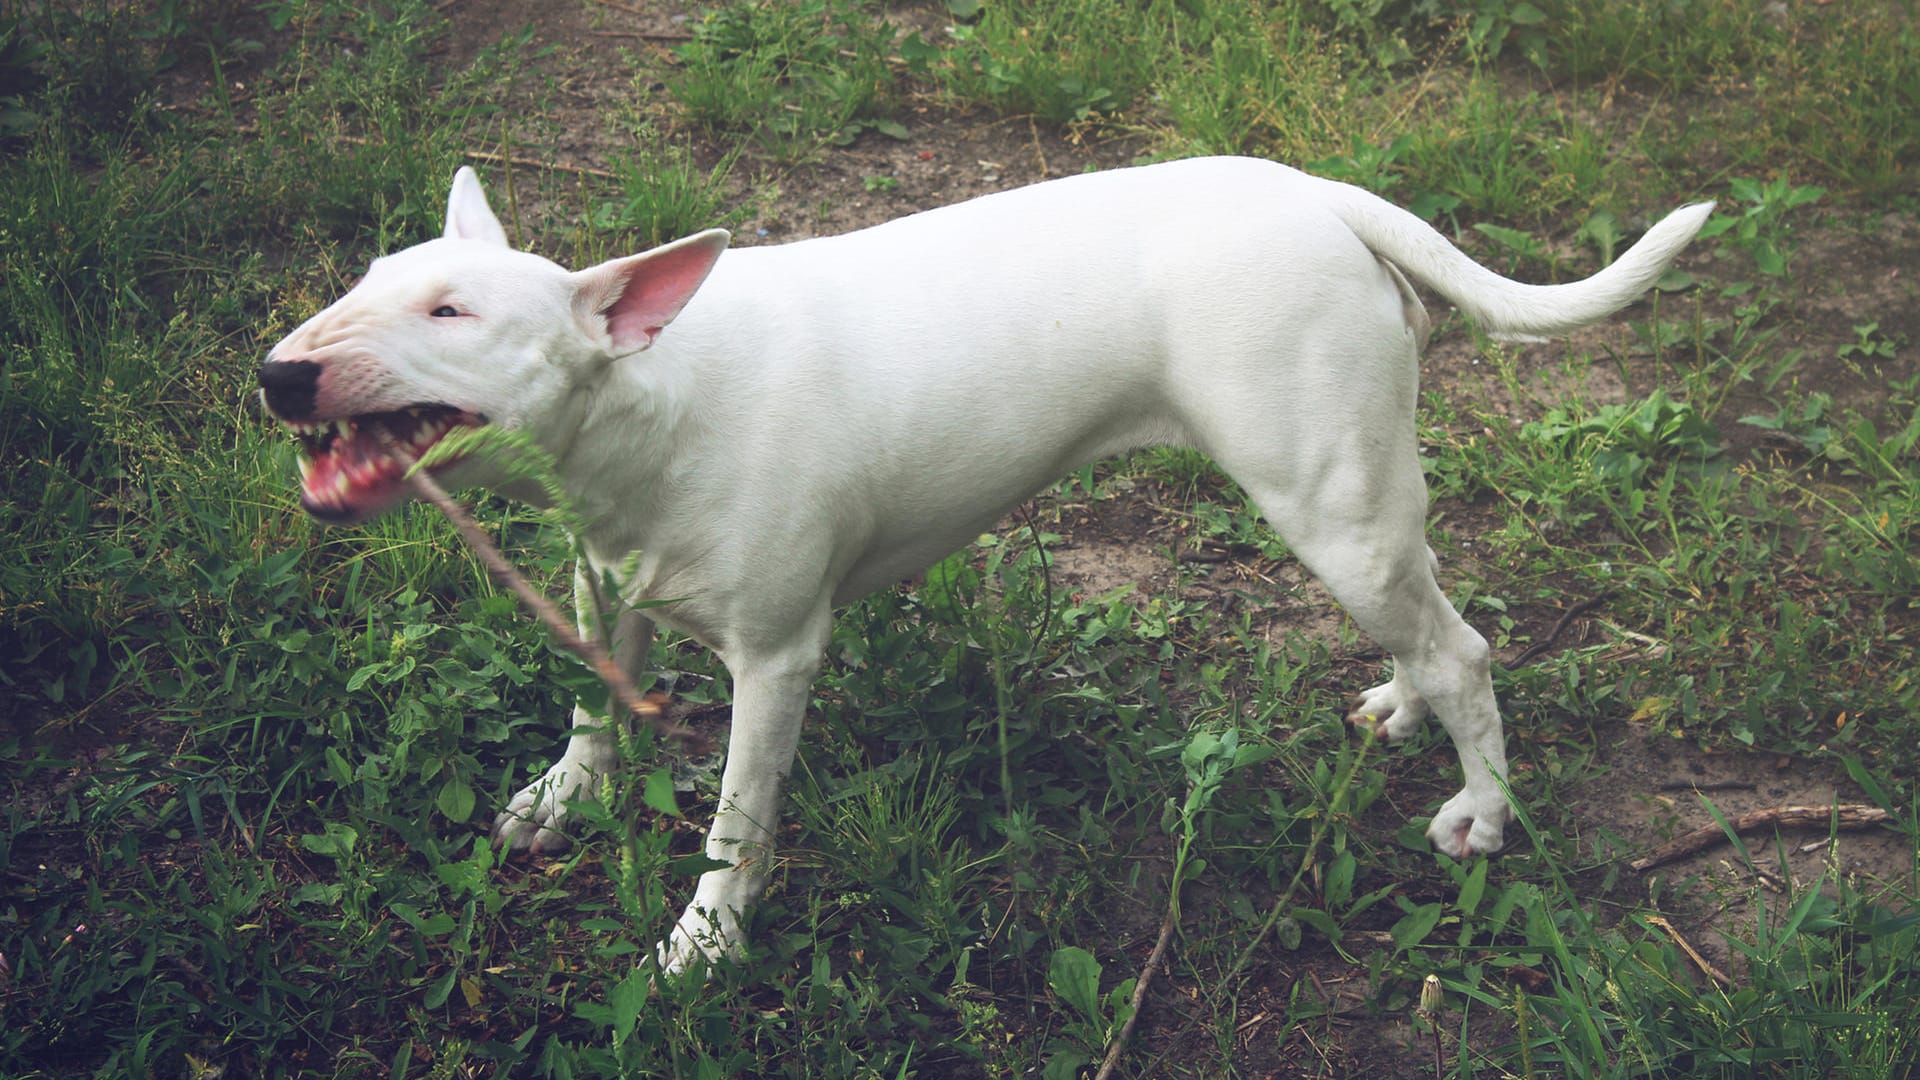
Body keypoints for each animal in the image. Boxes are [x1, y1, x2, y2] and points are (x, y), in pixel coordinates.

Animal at [259, 155, 1712, 972]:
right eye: (364, 278)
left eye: (452, 311)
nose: (277, 376)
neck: (650, 395)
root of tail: (1318, 194)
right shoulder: (598, 585)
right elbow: (590, 710)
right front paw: (563, 799)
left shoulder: (777, 659)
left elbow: (736, 819)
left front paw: (704, 946)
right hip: (1352, 503)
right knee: (1424, 619)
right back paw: (1401, 706)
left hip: (1326, 496)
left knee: (1462, 646)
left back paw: (1483, 813)